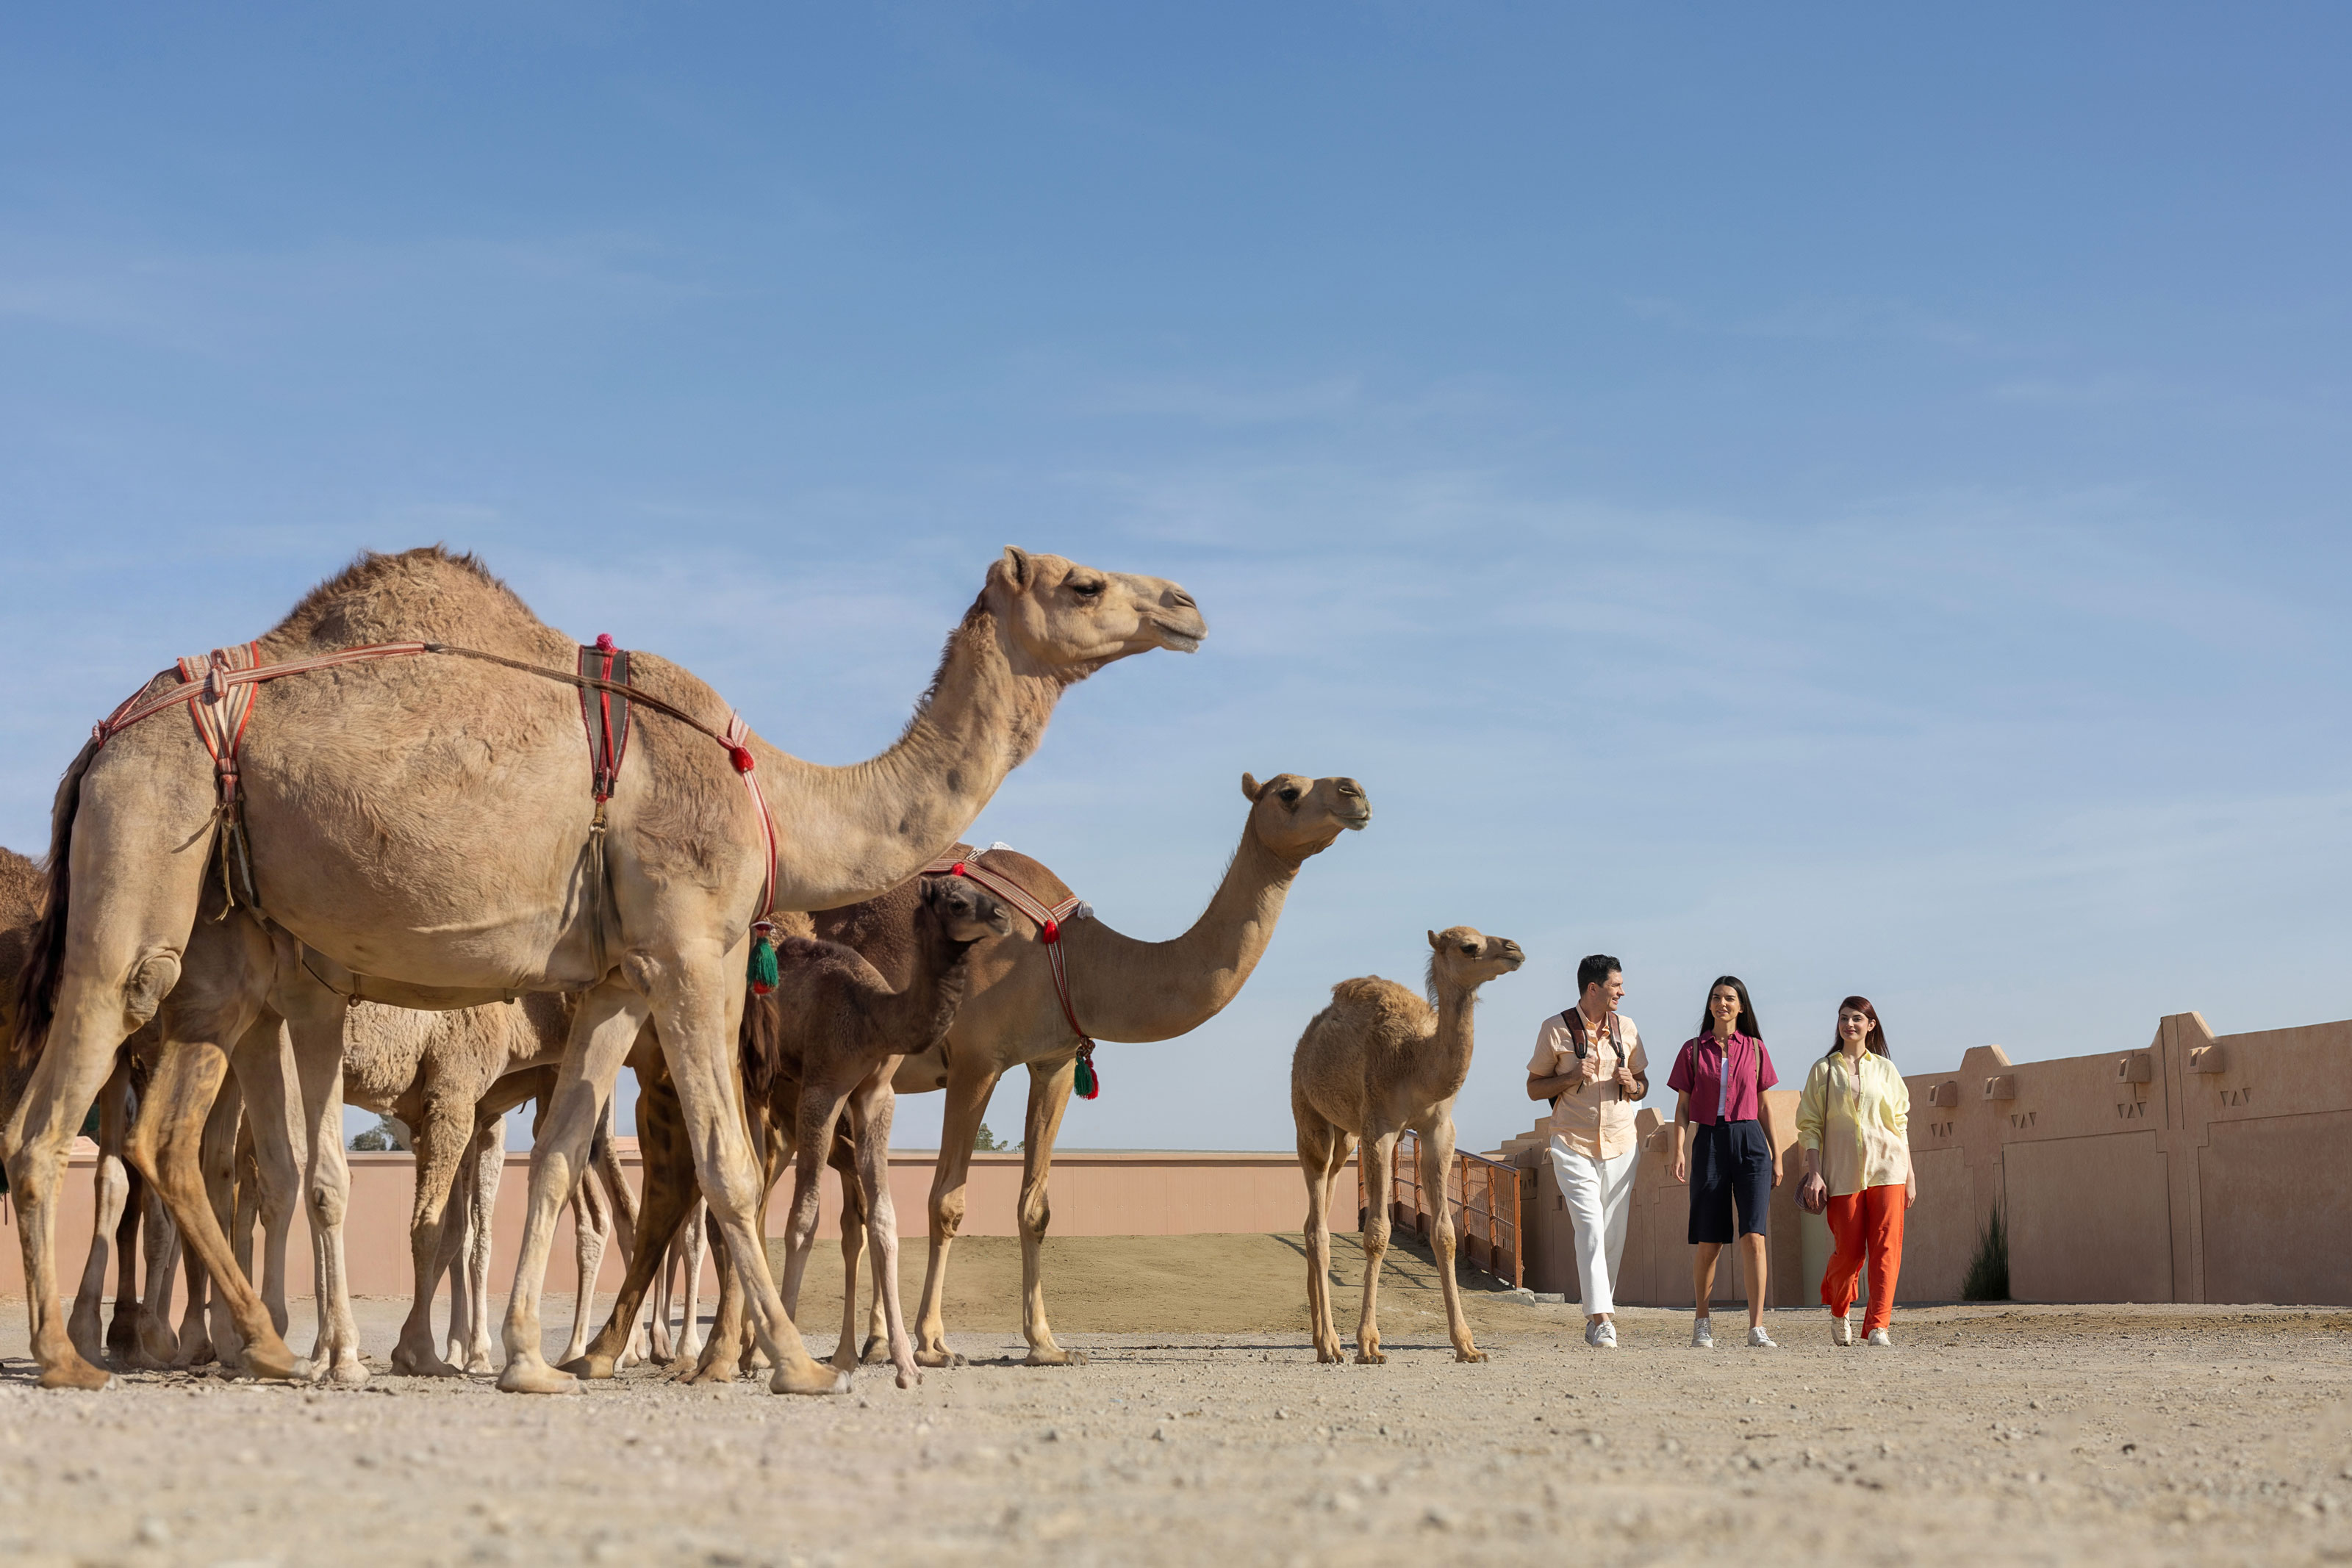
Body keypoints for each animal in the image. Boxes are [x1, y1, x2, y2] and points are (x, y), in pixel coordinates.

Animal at [7, 543, 1202, 1392]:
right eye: (1086, 580)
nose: (1186, 605)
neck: (771, 789)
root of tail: (98, 741)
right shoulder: (693, 946)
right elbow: (728, 1163)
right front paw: (795, 1364)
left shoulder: (622, 978)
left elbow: (563, 1151)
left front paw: (533, 1364)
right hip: (144, 854)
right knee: (66, 1106)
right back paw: (76, 1357)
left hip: (230, 936)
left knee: (198, 1143)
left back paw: (261, 1346)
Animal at [625, 770, 1372, 1374]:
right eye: (1288, 791)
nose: (1356, 793)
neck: (1070, 955)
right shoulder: (977, 1061)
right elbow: (948, 1201)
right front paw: (932, 1342)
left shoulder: (1054, 1060)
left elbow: (1035, 1206)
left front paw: (1045, 1343)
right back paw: (721, 1352)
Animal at [1291, 925, 1524, 1366]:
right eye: (1469, 946)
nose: (1515, 949)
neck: (1415, 1060)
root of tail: (1306, 1039)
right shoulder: (1380, 1129)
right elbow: (1378, 1232)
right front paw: (1369, 1345)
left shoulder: (1438, 1131)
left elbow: (1446, 1234)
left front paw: (1467, 1346)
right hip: (1309, 1118)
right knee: (1318, 1224)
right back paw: (1331, 1344)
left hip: (1345, 1135)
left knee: (1316, 1222)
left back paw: (1323, 1342)